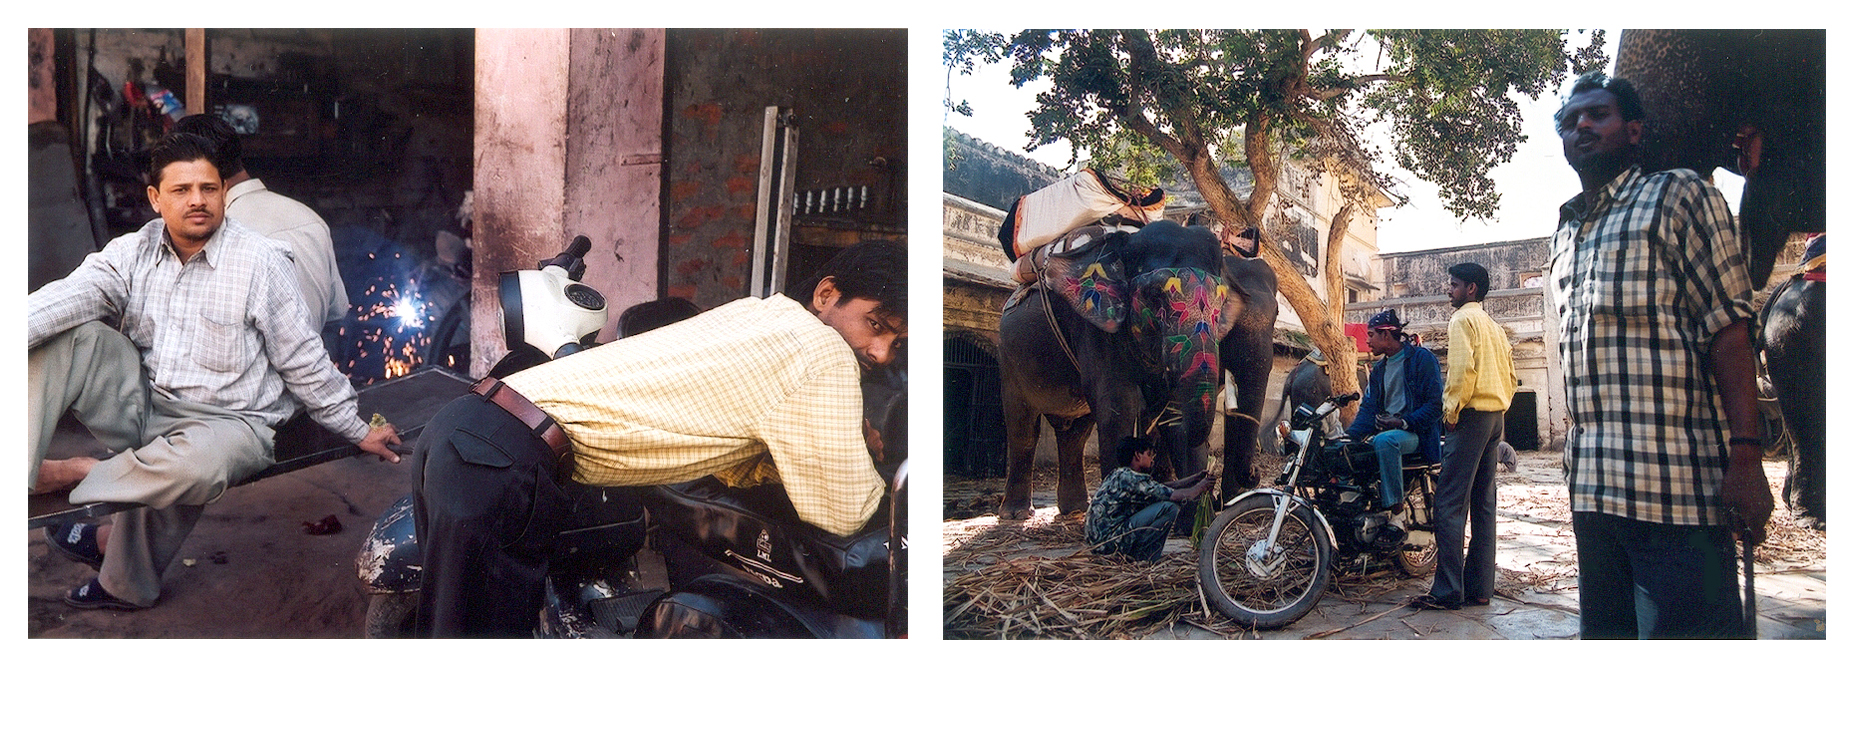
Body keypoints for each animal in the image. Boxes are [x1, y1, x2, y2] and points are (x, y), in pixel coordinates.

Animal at [999, 221, 1275, 514]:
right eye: (1154, 296)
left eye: (1222, 304)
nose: (1256, 473)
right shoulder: (1094, 326)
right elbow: (1118, 404)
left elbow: (1172, 409)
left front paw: (1197, 514)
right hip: (1009, 357)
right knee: (1023, 426)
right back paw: (1016, 512)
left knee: (1075, 432)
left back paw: (1075, 509)